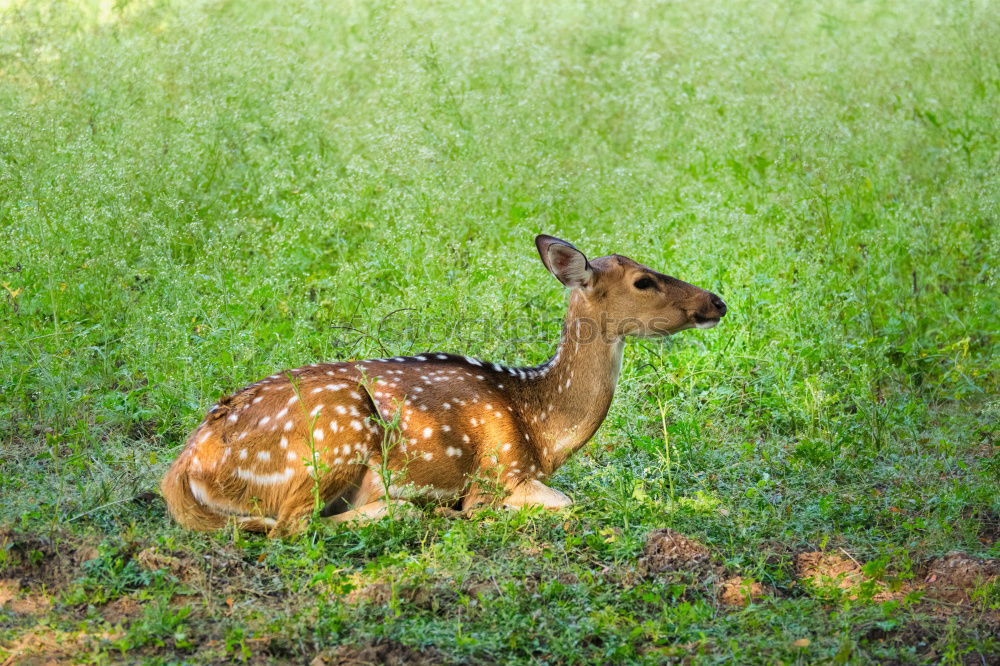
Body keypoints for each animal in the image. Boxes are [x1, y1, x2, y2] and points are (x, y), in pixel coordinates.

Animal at [162, 236, 728, 532]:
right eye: (643, 280)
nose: (717, 301)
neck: (541, 429)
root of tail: (186, 467)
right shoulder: (501, 471)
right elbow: (562, 501)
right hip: (332, 437)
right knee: (294, 526)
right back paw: (405, 508)